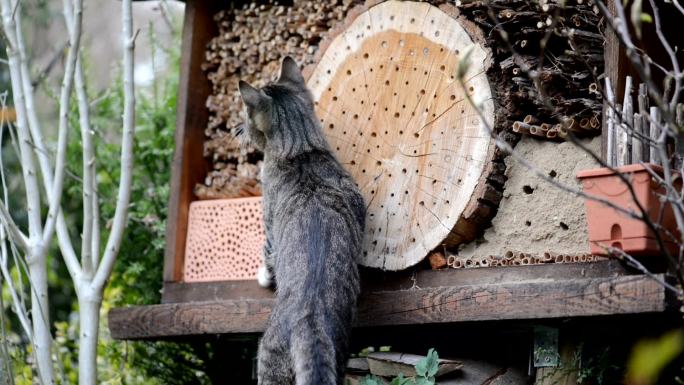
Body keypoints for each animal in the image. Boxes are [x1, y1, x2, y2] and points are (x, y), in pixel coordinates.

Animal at [239, 57, 368, 384]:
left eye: (246, 116)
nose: (239, 128)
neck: (302, 151)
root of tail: (309, 321)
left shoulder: (269, 227)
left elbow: (267, 254)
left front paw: (263, 276)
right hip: (339, 355)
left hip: (268, 361)